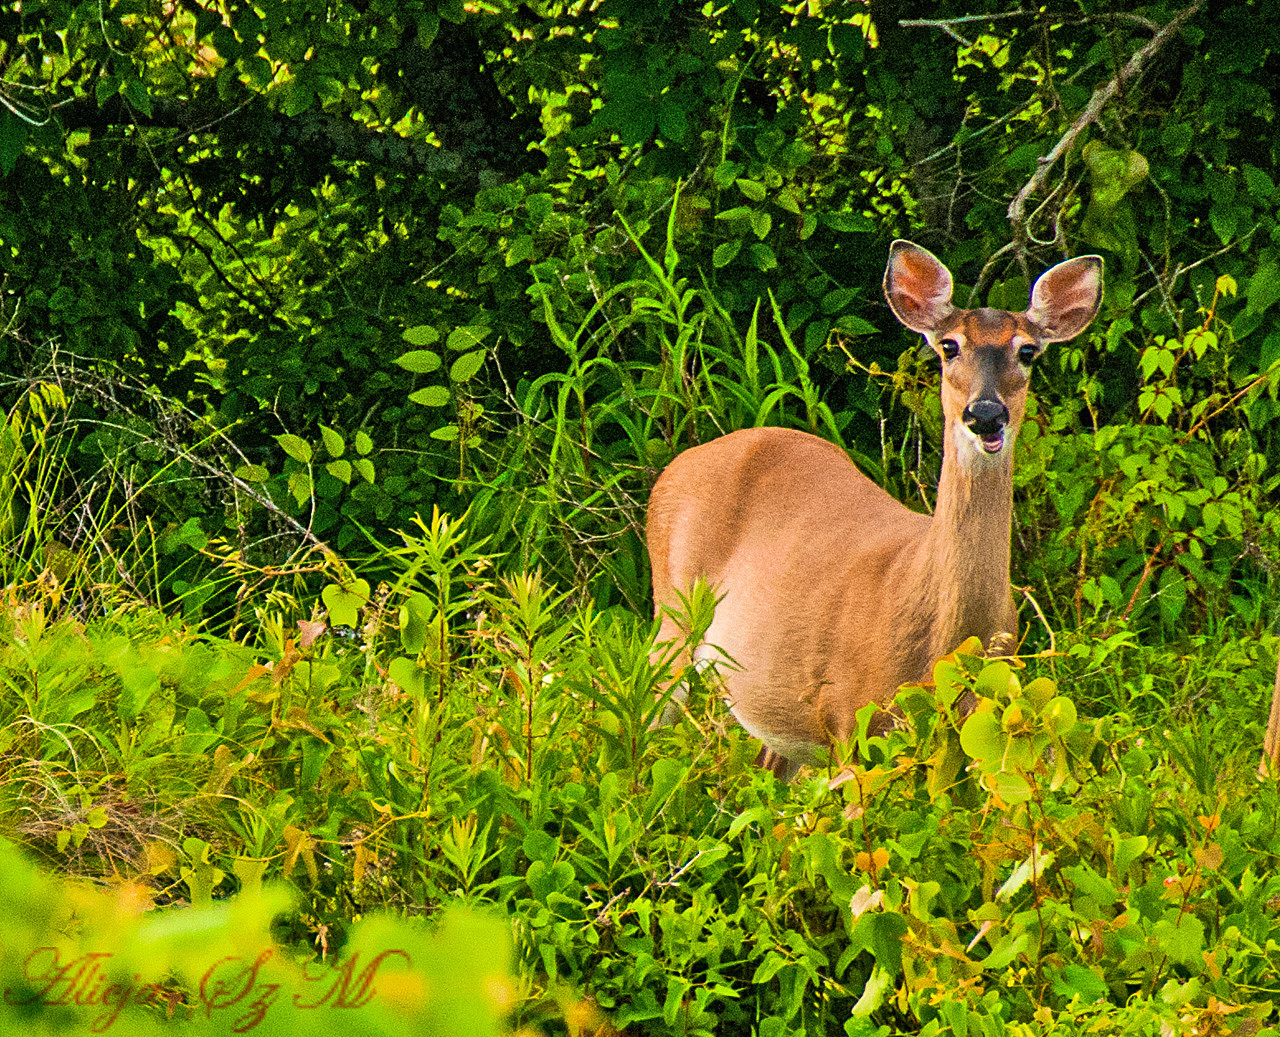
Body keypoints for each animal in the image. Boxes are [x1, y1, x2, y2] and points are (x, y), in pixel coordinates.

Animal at [645, 240, 1105, 778]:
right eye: (949, 346)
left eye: (1027, 350)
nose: (986, 414)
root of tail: (678, 464)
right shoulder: (853, 720)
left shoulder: (975, 736)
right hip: (672, 619)